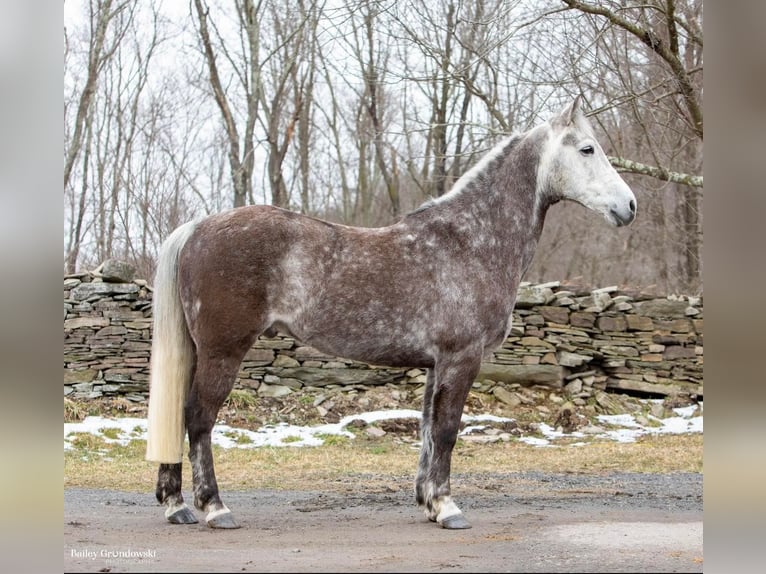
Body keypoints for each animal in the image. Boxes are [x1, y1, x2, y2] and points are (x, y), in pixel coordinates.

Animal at [147, 98, 640, 532]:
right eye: (587, 149)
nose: (629, 206)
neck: (470, 241)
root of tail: (197, 228)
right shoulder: (462, 359)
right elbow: (447, 431)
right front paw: (448, 508)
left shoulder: (436, 364)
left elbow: (427, 432)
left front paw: (429, 502)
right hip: (222, 351)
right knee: (198, 418)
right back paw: (214, 508)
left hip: (197, 351)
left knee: (178, 414)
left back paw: (176, 505)